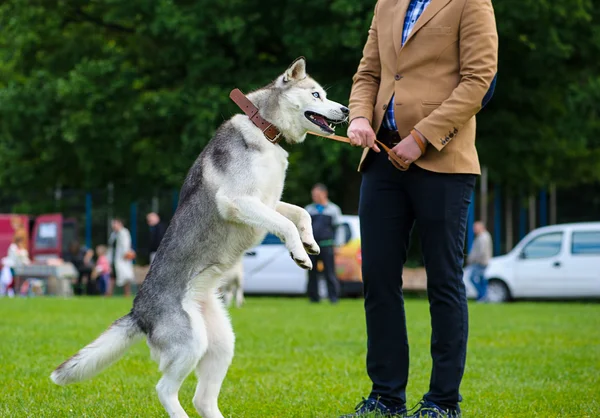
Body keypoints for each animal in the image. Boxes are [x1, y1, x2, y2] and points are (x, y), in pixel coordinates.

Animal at [51, 58, 352, 418]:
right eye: (316, 94)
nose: (347, 110)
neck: (264, 128)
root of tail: (139, 311)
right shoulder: (239, 202)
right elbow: (286, 224)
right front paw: (300, 253)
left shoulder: (266, 202)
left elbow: (300, 215)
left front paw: (310, 242)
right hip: (191, 344)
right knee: (165, 390)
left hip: (221, 343)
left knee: (202, 398)